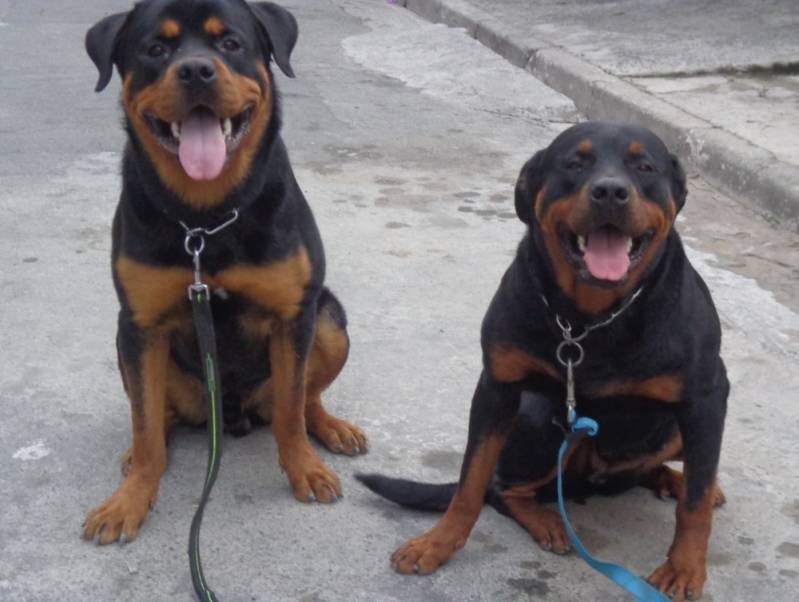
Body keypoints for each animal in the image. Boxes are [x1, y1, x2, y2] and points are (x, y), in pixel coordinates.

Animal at [81, 0, 368, 544]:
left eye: (230, 43)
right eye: (156, 48)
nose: (196, 70)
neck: (205, 218)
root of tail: (232, 414)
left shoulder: (294, 314)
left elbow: (292, 410)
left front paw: (304, 468)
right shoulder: (139, 325)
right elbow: (145, 425)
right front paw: (130, 499)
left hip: (329, 318)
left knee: (304, 398)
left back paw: (330, 427)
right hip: (130, 348)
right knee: (156, 416)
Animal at [362, 123, 732, 600]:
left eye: (645, 166)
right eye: (574, 164)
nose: (610, 191)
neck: (591, 318)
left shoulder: (707, 400)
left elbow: (696, 503)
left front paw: (684, 568)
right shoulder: (496, 388)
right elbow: (470, 481)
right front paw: (438, 543)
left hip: (676, 430)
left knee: (676, 470)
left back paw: (673, 480)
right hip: (542, 419)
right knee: (503, 488)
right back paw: (547, 519)